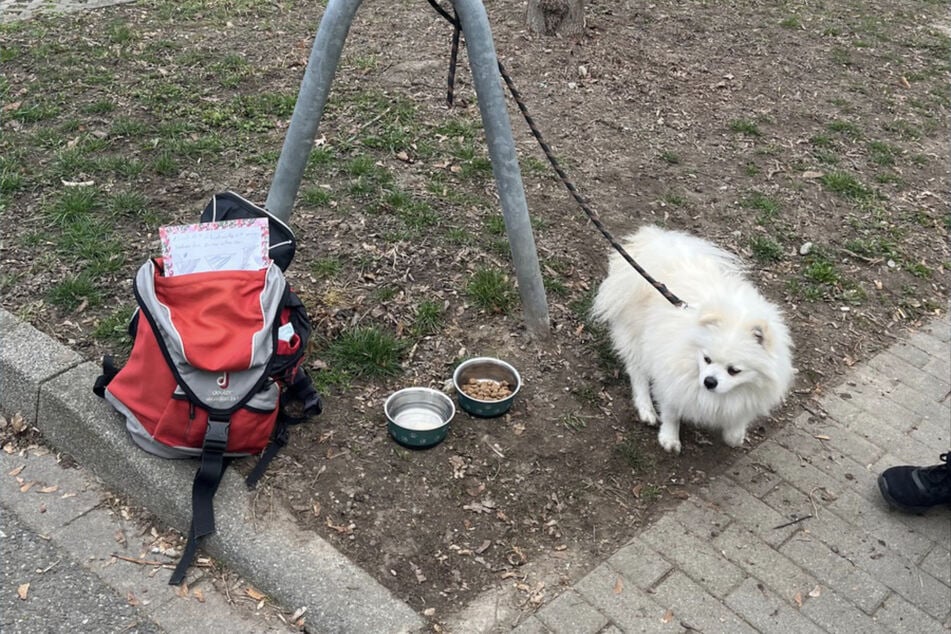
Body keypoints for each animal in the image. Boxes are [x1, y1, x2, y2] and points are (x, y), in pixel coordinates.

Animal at [592, 225, 792, 452]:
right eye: (707, 359)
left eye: (734, 370)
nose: (709, 381)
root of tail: (658, 249)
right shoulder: (672, 378)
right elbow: (671, 412)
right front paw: (670, 438)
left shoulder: (750, 395)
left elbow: (739, 417)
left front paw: (735, 434)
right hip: (637, 337)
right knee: (638, 374)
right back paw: (646, 409)